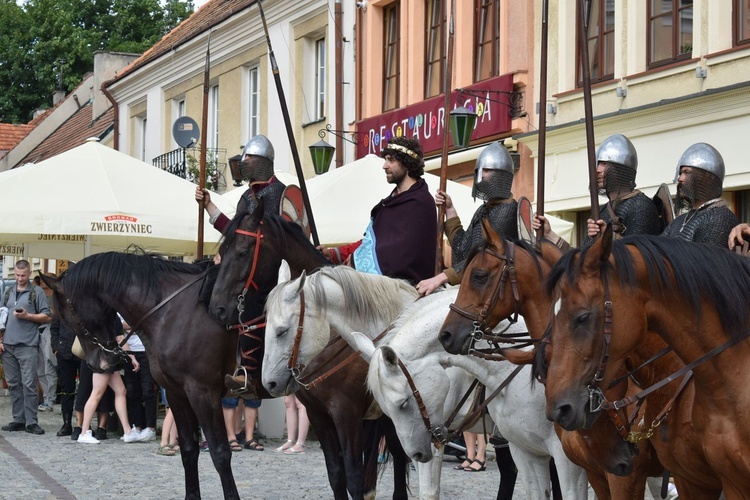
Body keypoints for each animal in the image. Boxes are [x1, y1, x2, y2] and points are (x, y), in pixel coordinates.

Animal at [41, 254, 241, 500]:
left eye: (67, 315)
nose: (95, 363)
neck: (174, 312)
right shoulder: (178, 394)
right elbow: (188, 450)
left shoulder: (204, 394)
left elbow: (220, 453)